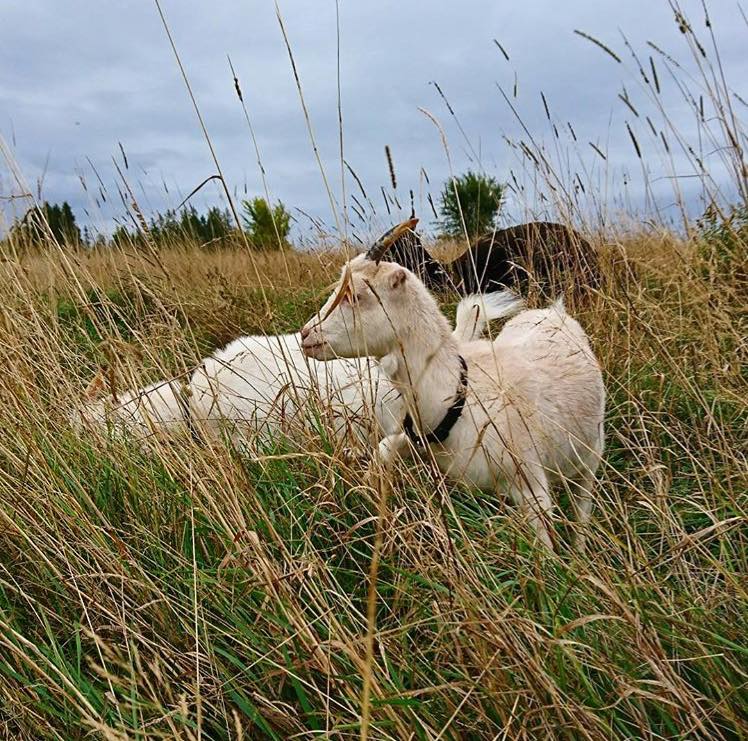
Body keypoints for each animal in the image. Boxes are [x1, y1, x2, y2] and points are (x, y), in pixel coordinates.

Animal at [300, 253, 604, 548]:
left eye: (355, 296)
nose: (306, 334)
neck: (462, 396)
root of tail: (554, 311)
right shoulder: (420, 439)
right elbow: (385, 449)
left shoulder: (530, 484)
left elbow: (544, 543)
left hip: (591, 453)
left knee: (583, 502)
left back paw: (579, 547)